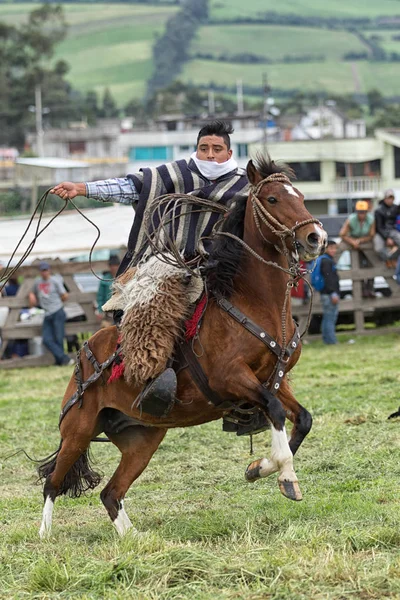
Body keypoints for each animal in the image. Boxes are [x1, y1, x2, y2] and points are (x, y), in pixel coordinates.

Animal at [37, 156, 326, 540]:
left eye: (302, 196)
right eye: (273, 198)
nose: (316, 237)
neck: (254, 303)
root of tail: (86, 354)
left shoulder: (274, 380)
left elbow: (302, 419)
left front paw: (259, 468)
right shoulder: (231, 378)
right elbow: (277, 412)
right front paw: (286, 477)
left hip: (142, 439)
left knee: (111, 492)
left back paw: (134, 540)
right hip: (78, 429)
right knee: (53, 483)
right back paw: (43, 536)